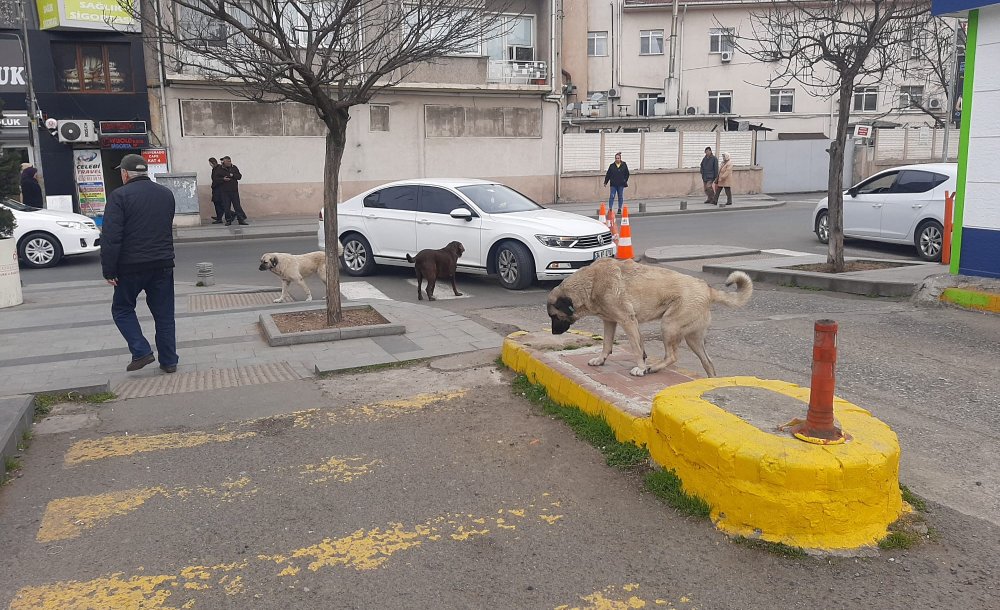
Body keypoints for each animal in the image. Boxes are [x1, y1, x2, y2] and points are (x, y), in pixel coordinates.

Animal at [548, 256, 752, 376]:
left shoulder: (627, 320)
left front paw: (640, 367)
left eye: (554, 317)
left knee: (672, 356)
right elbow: (609, 344)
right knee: (708, 363)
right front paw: (601, 359)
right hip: (692, 339)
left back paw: (652, 368)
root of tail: (707, 289)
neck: (590, 283)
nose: (553, 333)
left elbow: (635, 348)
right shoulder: (612, 322)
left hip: (668, 325)